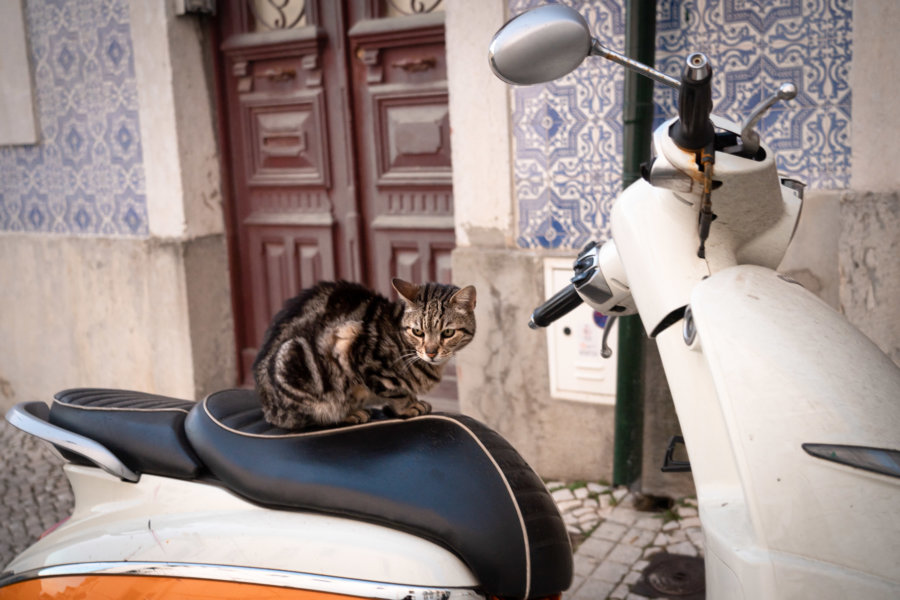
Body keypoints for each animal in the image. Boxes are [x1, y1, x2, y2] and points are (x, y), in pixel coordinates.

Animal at [253, 278, 478, 428]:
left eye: (447, 333)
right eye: (418, 332)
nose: (431, 352)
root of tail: (267, 407)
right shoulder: (354, 347)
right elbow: (396, 391)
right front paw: (408, 406)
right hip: (295, 358)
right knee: (312, 416)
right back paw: (348, 413)